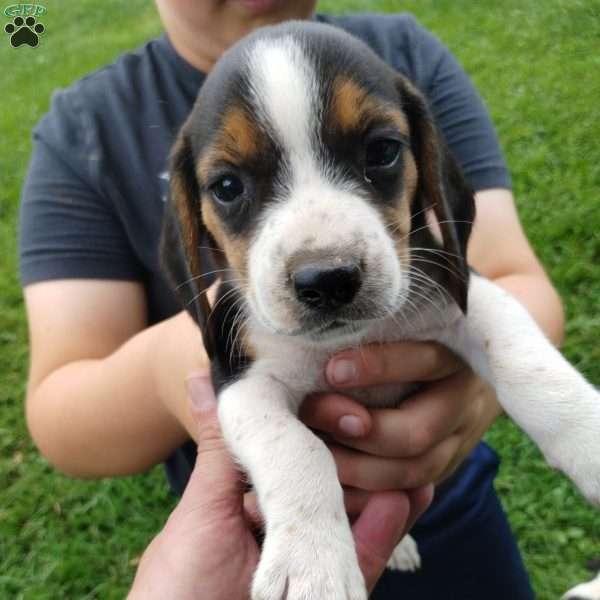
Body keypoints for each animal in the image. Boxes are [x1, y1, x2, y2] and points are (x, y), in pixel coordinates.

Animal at [162, 19, 600, 600]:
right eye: (227, 186)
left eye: (383, 151)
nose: (327, 279)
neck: (350, 340)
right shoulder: (240, 383)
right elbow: (297, 450)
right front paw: (312, 564)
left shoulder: (463, 289)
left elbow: (529, 366)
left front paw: (590, 440)